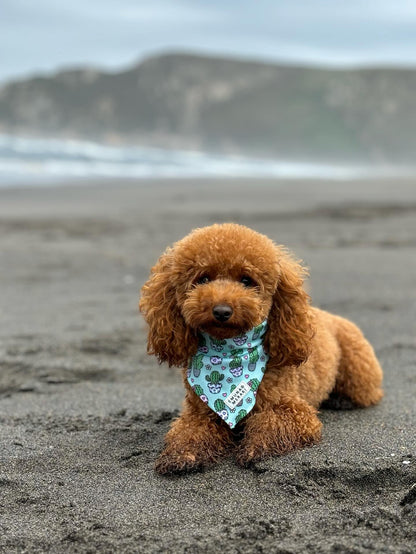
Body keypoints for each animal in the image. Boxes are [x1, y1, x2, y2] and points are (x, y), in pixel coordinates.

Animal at [140, 222, 384, 472]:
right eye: (203, 279)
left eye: (247, 281)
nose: (222, 311)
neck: (229, 355)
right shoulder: (199, 412)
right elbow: (189, 432)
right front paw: (182, 454)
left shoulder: (293, 410)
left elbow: (270, 423)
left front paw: (255, 448)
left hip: (357, 367)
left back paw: (342, 400)